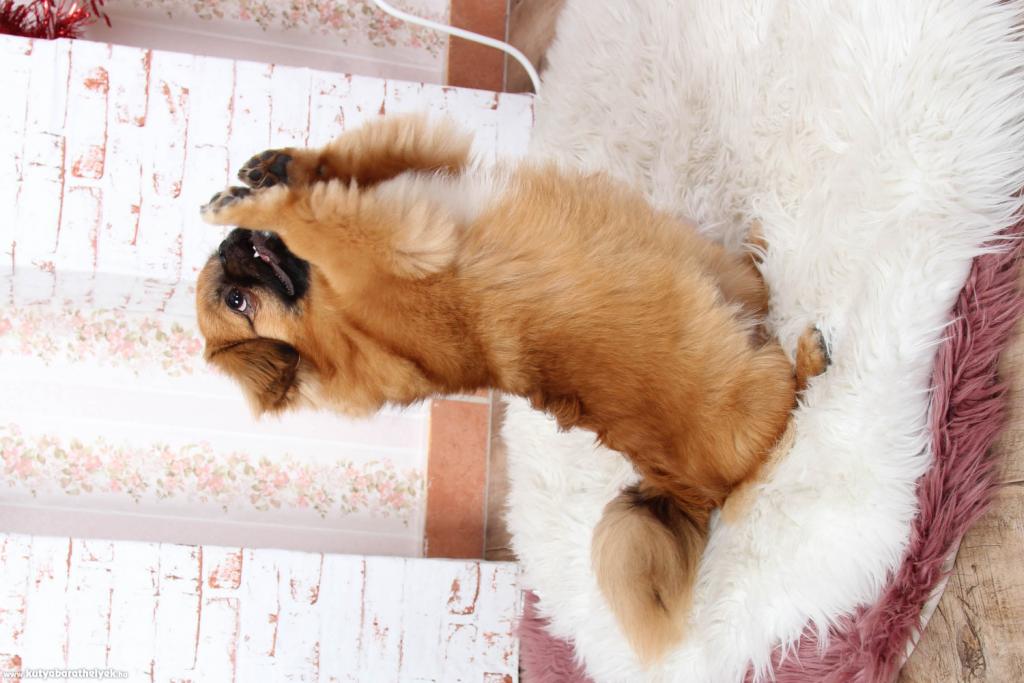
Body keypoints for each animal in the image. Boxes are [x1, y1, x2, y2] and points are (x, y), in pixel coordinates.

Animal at [195, 115, 827, 664]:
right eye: (237, 301)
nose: (228, 244)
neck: (342, 319)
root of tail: (686, 489)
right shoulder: (392, 243)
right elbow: (313, 220)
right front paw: (262, 199)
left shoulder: (416, 188)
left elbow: (352, 167)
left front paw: (275, 169)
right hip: (755, 387)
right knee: (790, 399)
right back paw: (811, 355)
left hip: (723, 280)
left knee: (757, 292)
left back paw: (760, 248)